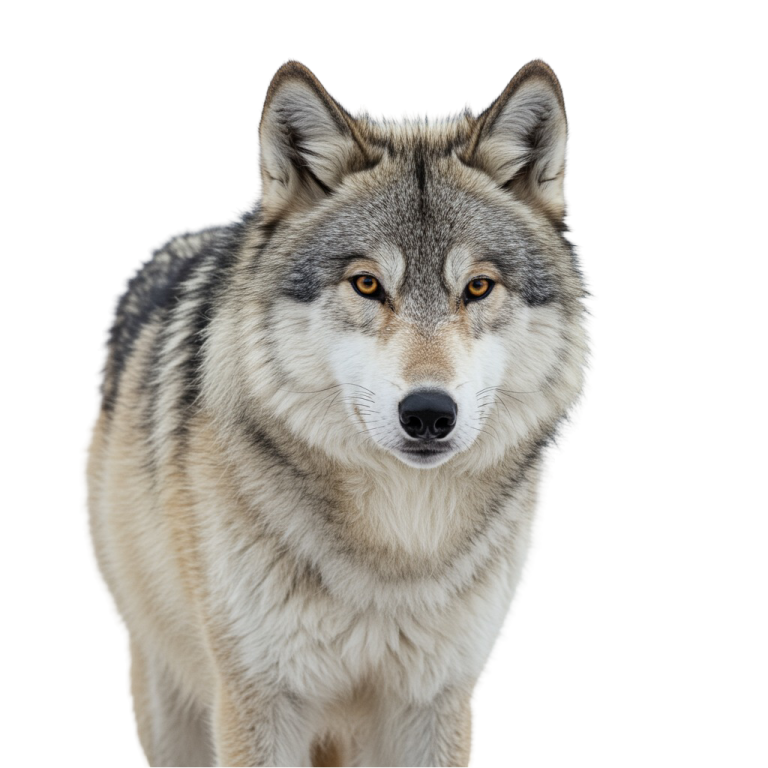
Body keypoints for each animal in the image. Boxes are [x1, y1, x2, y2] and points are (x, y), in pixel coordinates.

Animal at [79, 56, 596, 767]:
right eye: (368, 284)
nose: (428, 413)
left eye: (478, 287)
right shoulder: (258, 704)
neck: (398, 547)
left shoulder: (436, 701)